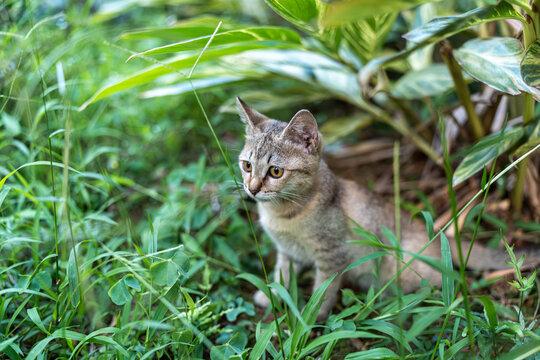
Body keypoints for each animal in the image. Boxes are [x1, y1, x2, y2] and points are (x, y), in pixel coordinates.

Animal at [237, 97, 540, 320]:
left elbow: (324, 290)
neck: (283, 214)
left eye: (276, 171)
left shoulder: (332, 256)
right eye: (247, 165)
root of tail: (439, 236)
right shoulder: (287, 251)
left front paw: (311, 316)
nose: (252, 189)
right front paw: (272, 294)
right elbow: (282, 273)